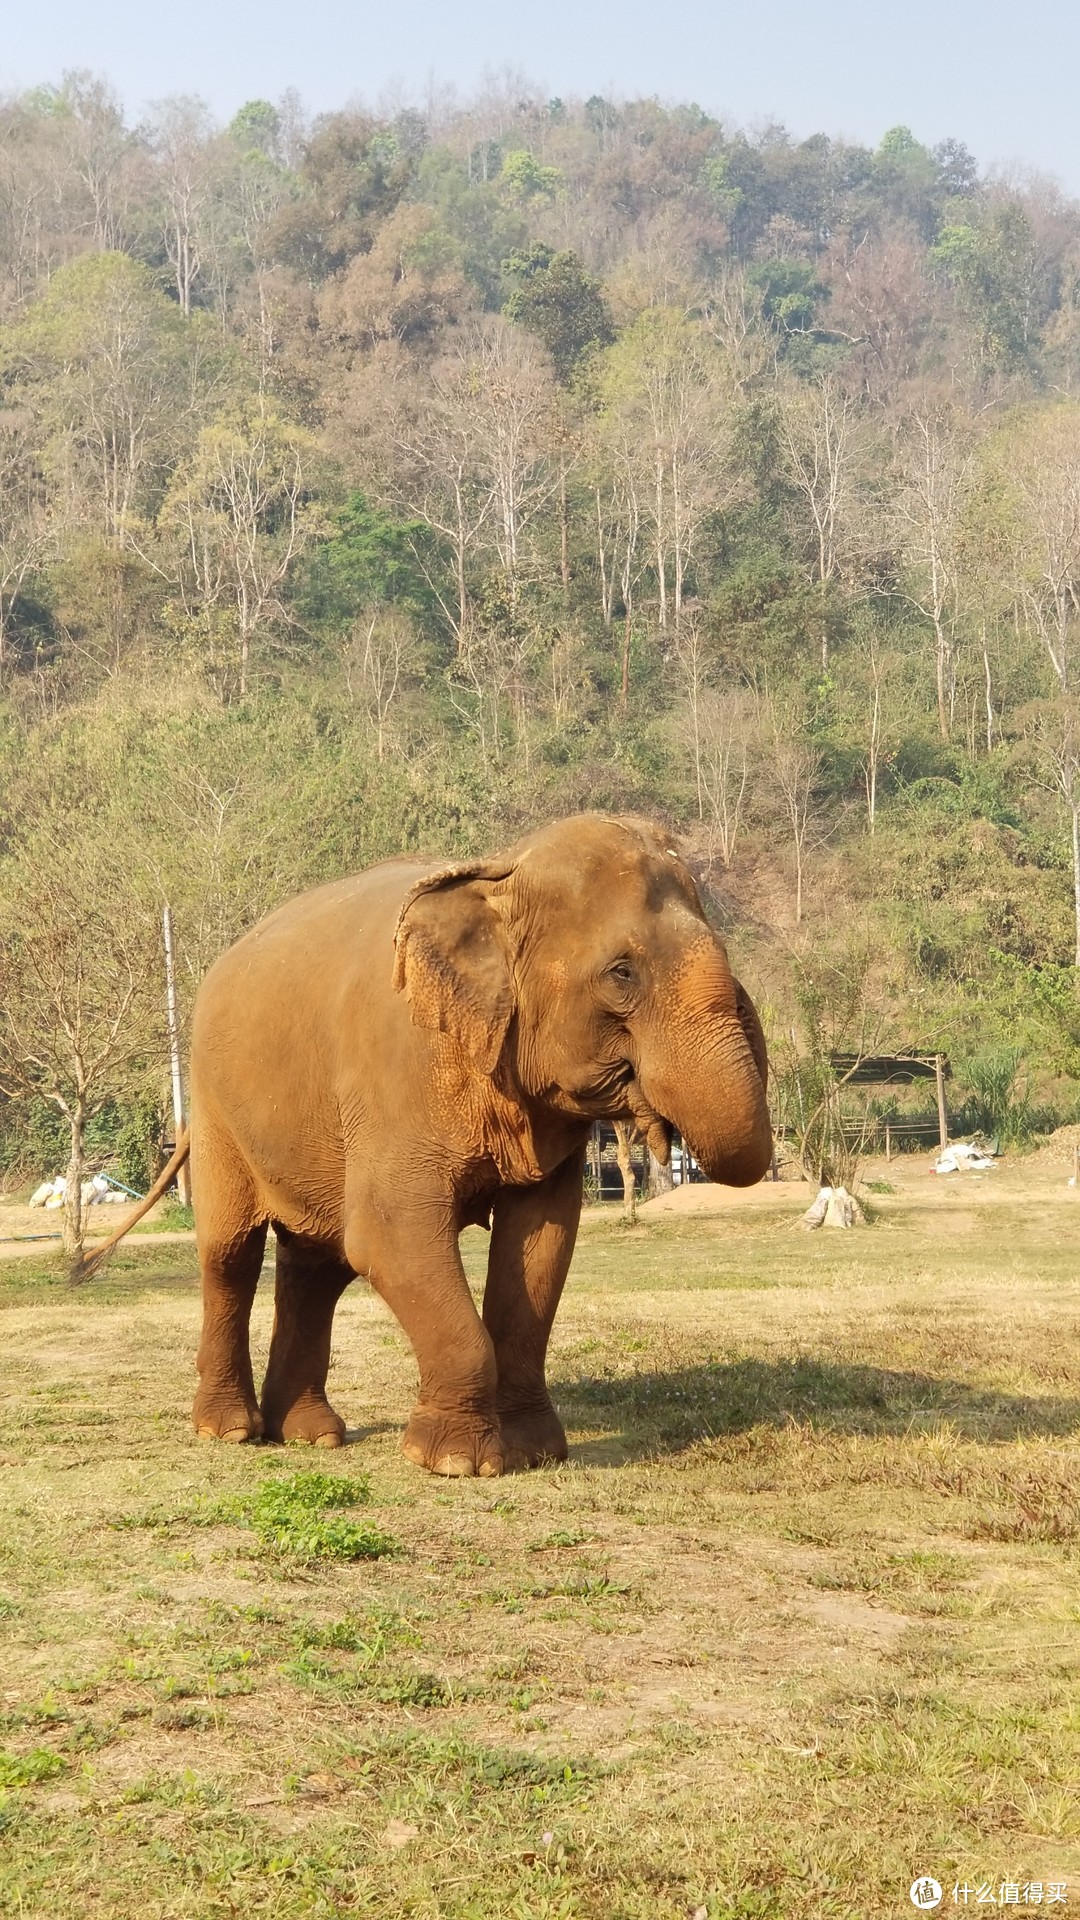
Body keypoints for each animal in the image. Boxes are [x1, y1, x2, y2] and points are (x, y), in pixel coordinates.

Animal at [88, 810, 768, 1466]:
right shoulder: (395, 1074)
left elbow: (541, 1243)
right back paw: (228, 1431)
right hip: (217, 1113)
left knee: (317, 1265)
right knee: (231, 1255)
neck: (500, 871)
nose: (661, 1132)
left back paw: (310, 1436)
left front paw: (532, 1454)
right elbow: (389, 1233)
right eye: (621, 973)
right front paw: (453, 1462)